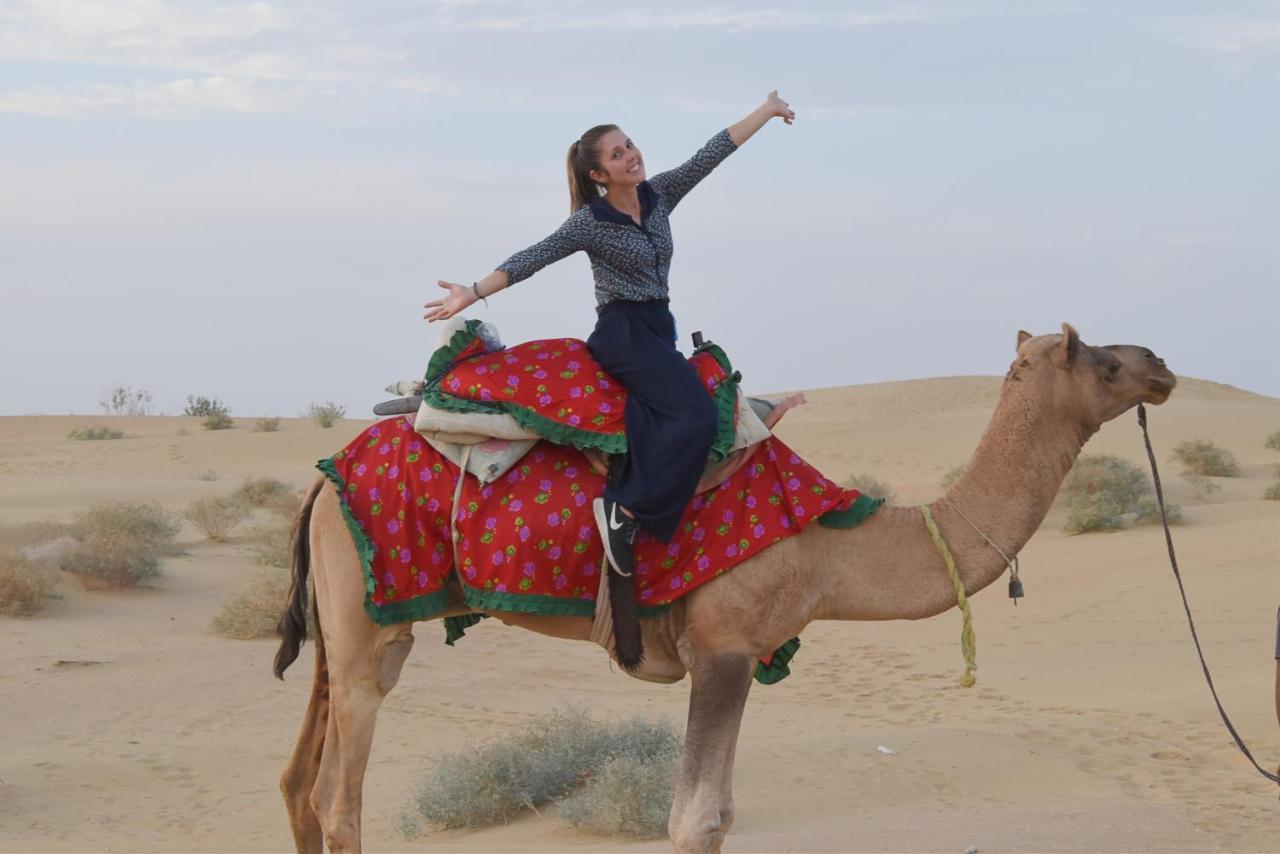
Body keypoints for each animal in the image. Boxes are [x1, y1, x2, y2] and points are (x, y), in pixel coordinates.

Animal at [275, 323, 1172, 850]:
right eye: (1101, 357)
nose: (1162, 363)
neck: (827, 543)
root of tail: (322, 478)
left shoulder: (737, 653)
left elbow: (721, 815)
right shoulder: (725, 647)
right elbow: (695, 821)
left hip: (353, 625)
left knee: (299, 782)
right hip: (365, 617)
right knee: (338, 800)